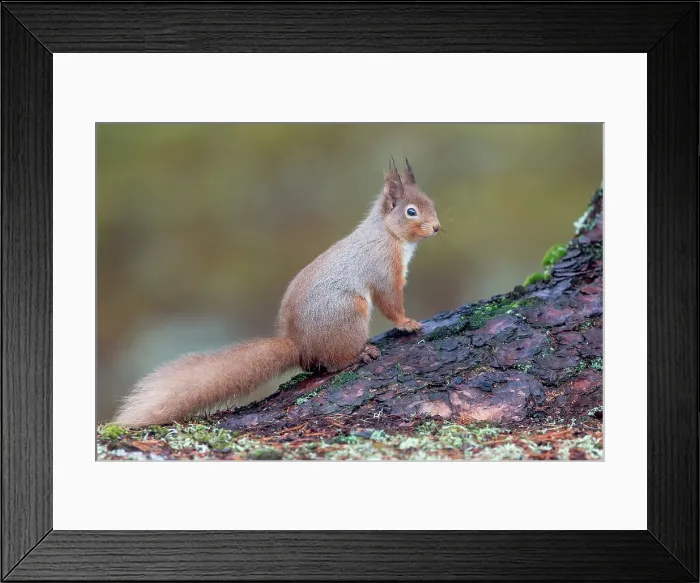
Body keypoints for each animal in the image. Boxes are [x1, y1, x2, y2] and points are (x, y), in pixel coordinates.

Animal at [113, 157, 441, 427]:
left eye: (431, 202)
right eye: (411, 211)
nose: (437, 227)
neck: (388, 233)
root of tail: (300, 344)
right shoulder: (383, 268)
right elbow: (390, 302)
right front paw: (407, 323)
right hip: (350, 310)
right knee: (334, 362)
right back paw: (359, 354)